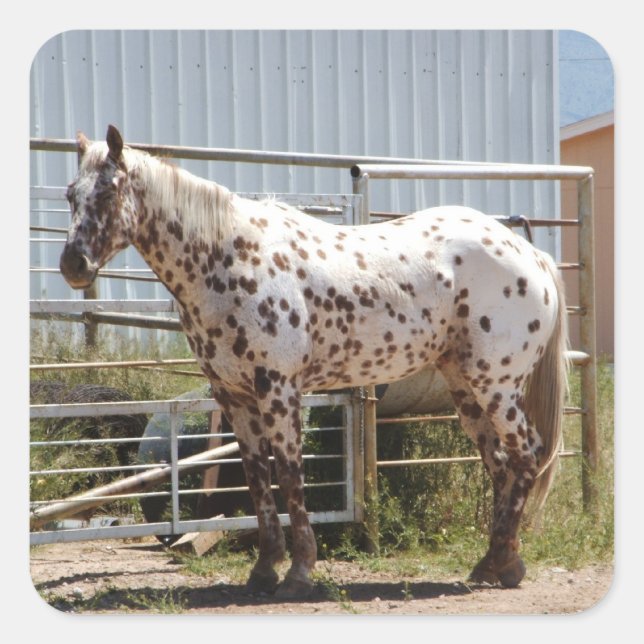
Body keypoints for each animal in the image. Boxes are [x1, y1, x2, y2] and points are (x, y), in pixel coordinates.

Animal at [59, 125, 569, 597]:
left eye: (109, 191)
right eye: (70, 194)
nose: (72, 265)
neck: (229, 259)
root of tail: (531, 255)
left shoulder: (279, 389)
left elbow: (289, 476)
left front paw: (299, 573)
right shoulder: (234, 397)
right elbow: (257, 479)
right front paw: (264, 570)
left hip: (496, 385)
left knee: (525, 455)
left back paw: (502, 562)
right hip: (465, 389)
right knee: (501, 464)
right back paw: (494, 564)